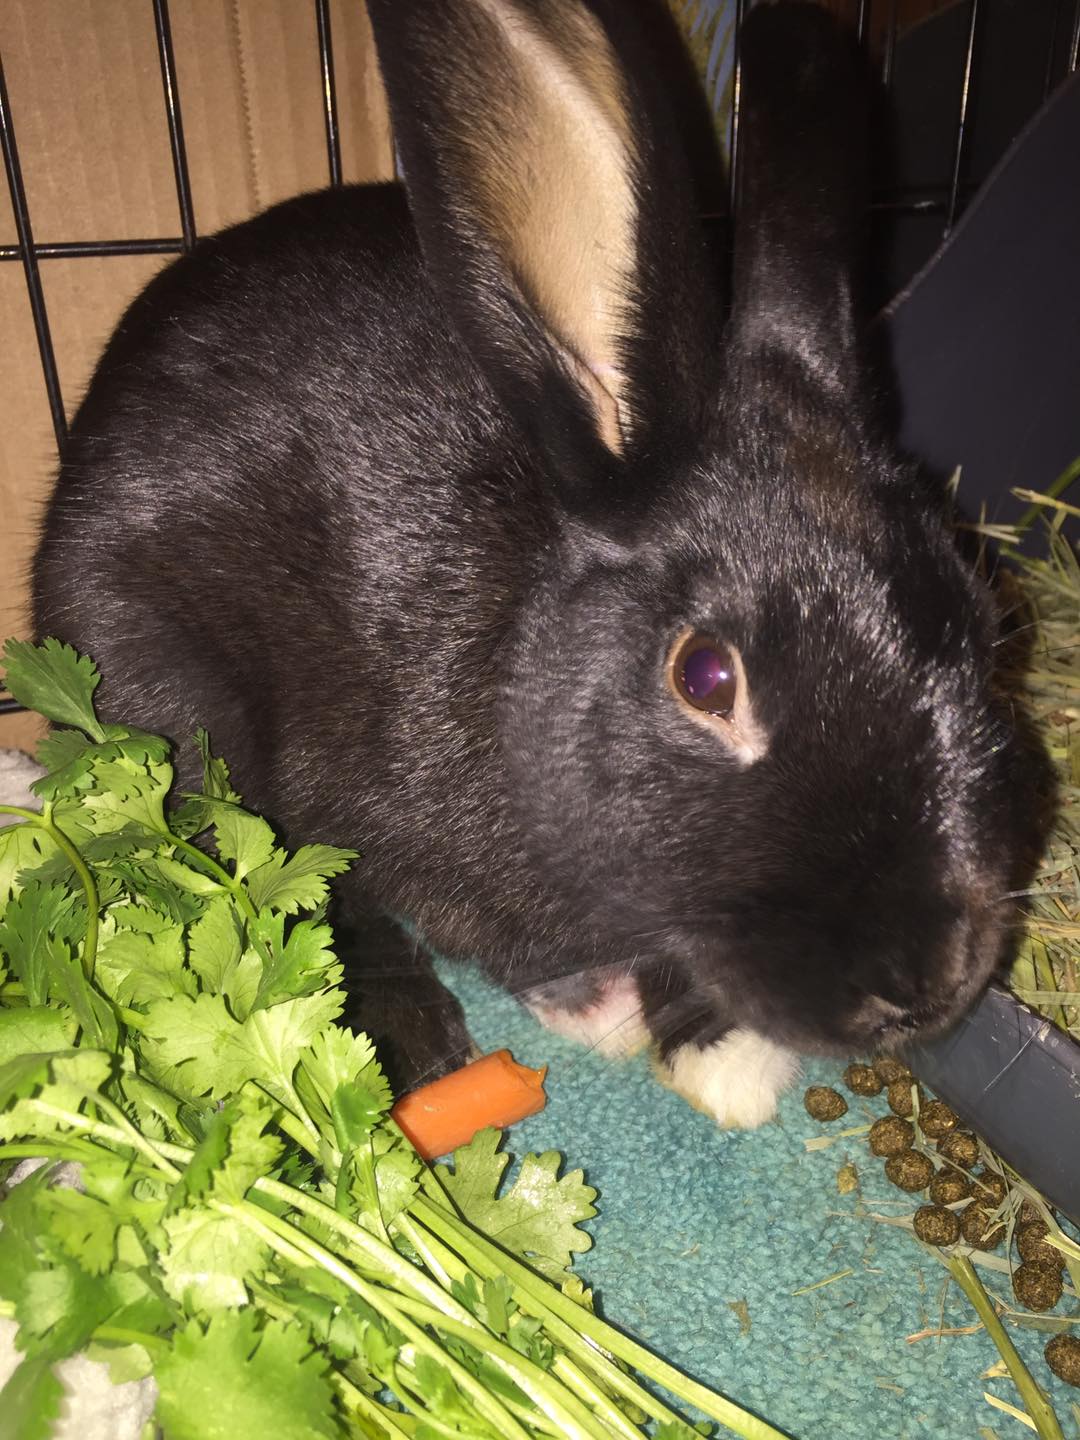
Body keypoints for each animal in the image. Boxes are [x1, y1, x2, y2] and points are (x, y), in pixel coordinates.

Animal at [32, 0, 1037, 1127]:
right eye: (706, 678)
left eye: (985, 628)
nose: (927, 984)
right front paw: (604, 1009)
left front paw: (718, 1051)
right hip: (157, 686)